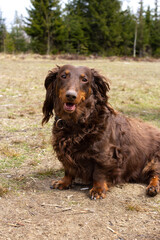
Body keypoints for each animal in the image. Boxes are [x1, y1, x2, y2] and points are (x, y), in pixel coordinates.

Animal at [42, 63, 159, 199]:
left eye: (84, 79)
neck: (77, 122)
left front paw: (98, 189)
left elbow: (99, 173)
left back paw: (153, 187)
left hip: (154, 160)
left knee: (155, 174)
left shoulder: (104, 155)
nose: (71, 96)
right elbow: (68, 169)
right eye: (63, 76)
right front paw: (64, 182)